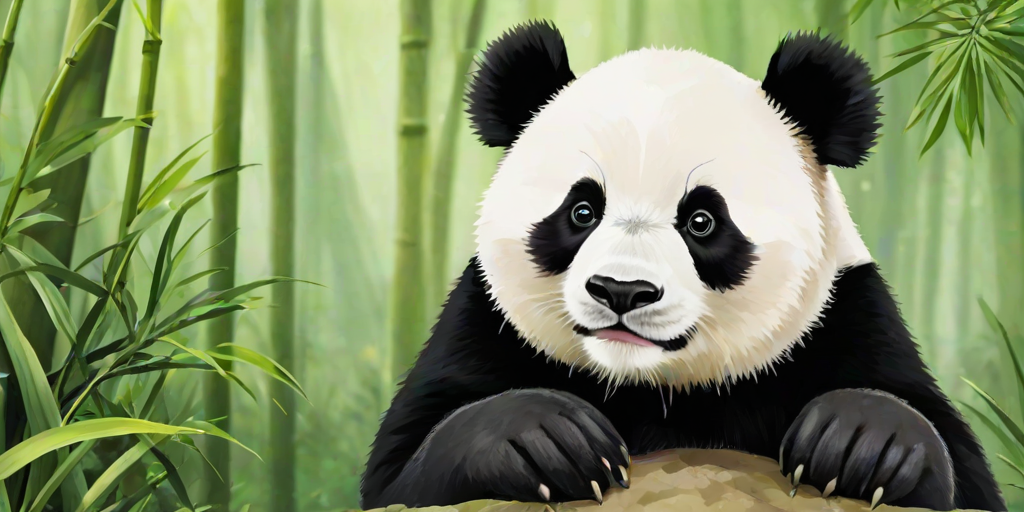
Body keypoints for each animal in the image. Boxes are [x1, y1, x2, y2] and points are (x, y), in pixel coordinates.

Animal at [360, 20, 1005, 512]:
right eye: (582, 210)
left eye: (701, 221)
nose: (622, 291)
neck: (653, 385)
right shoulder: (483, 318)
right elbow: (402, 468)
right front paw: (549, 440)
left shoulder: (846, 314)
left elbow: (961, 473)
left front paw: (860, 441)